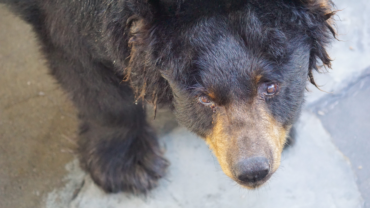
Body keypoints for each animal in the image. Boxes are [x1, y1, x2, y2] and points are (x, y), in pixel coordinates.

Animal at [0, 0, 336, 195]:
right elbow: (86, 71)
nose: (253, 171)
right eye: (204, 99)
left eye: (271, 86)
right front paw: (131, 170)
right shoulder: (67, 17)